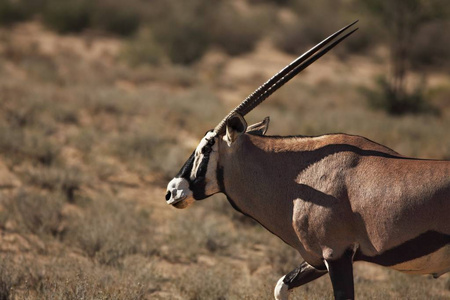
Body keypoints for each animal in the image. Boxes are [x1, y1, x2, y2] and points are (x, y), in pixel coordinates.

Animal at [165, 20, 450, 298]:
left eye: (206, 147)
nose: (171, 191)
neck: (299, 176)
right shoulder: (317, 260)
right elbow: (280, 286)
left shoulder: (336, 254)